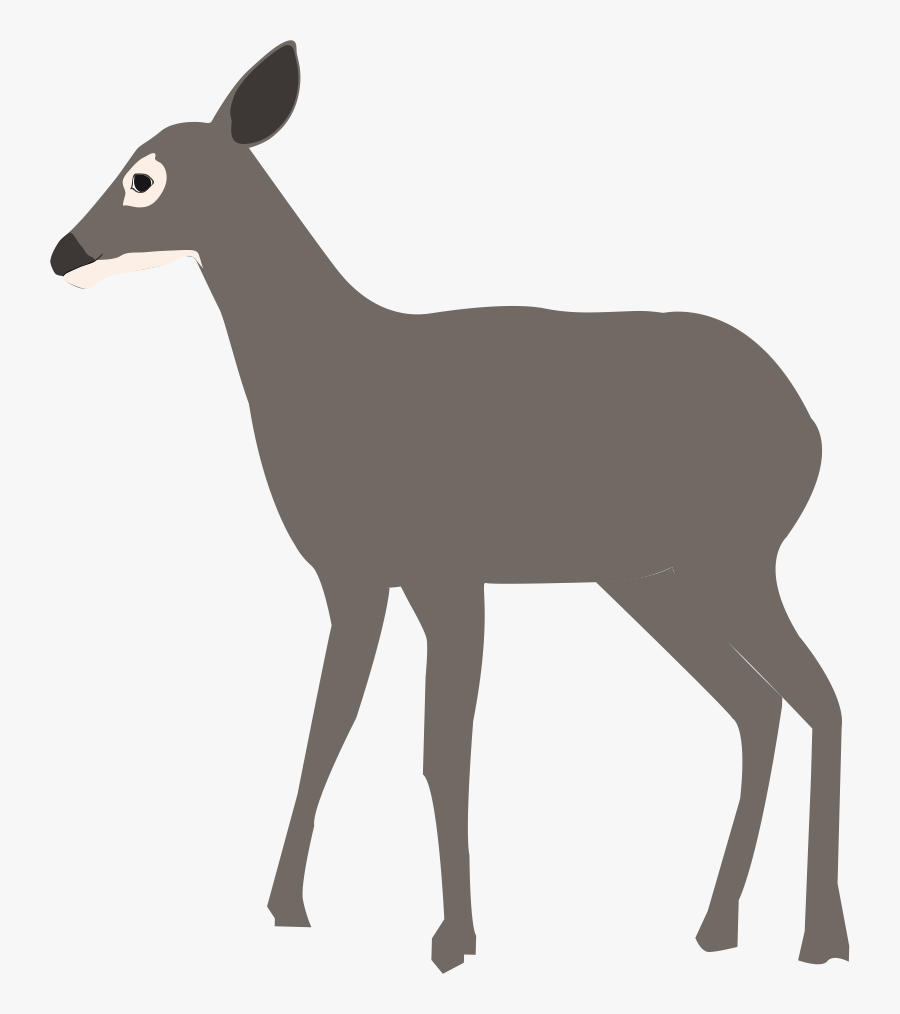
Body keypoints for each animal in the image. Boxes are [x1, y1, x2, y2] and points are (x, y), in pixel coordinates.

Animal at [50, 41, 849, 972]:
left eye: (144, 176)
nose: (62, 253)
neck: (330, 369)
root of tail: (810, 428)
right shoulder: (355, 580)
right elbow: (328, 728)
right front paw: (288, 906)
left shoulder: (447, 574)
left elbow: (442, 752)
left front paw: (452, 936)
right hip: (652, 580)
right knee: (759, 706)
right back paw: (716, 927)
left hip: (736, 559)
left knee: (819, 697)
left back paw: (820, 938)